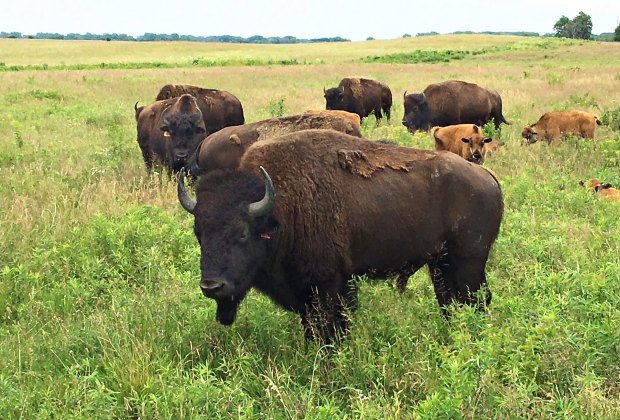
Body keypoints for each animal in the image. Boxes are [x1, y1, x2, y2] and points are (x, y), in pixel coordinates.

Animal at [176, 128, 504, 342]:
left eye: (242, 233)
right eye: (198, 232)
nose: (211, 286)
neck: (280, 208)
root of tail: (488, 178)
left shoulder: (328, 286)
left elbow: (330, 330)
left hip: (469, 262)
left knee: (477, 300)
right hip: (441, 264)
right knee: (450, 302)